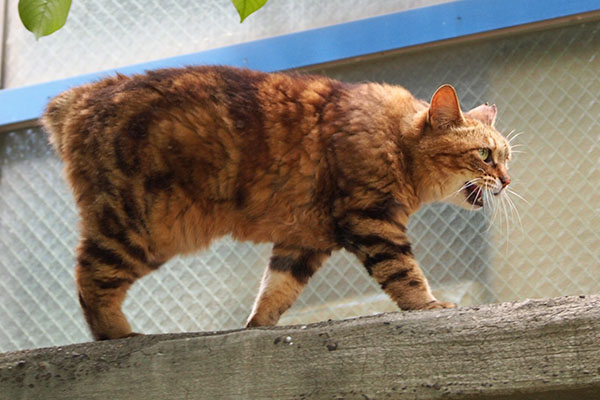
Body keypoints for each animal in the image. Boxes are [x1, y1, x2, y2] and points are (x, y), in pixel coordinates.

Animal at [42, 65, 510, 340]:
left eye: (506, 157)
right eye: (485, 155)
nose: (506, 181)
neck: (396, 138)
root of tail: (79, 96)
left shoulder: (304, 240)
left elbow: (276, 290)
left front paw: (256, 328)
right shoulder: (372, 220)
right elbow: (404, 274)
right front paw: (430, 305)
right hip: (140, 227)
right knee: (89, 278)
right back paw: (118, 335)